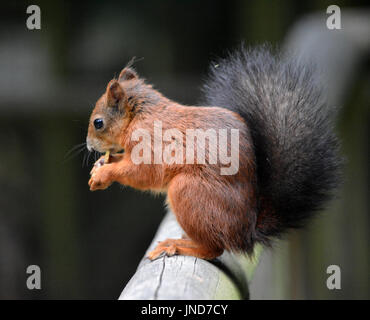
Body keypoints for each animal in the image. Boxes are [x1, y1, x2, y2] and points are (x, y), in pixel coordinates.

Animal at [86, 44, 342, 260]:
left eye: (98, 123)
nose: (88, 145)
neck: (140, 114)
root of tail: (245, 233)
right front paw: (103, 163)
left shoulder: (149, 143)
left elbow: (143, 173)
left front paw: (104, 174)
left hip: (189, 191)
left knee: (213, 249)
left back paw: (176, 245)